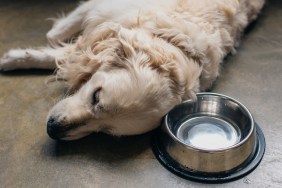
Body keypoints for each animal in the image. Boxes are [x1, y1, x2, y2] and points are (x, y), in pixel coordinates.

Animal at [0, 0, 264, 140]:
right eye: (96, 96)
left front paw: (13, 59)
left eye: (106, 131)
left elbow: (60, 52)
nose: (52, 130)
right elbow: (55, 38)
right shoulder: (102, 11)